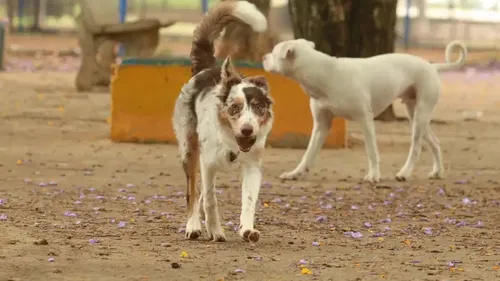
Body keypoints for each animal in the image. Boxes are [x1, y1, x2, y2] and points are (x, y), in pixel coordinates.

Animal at [172, 0, 274, 242]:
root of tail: (207, 68)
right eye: (234, 107)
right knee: (193, 193)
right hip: (189, 149)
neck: (232, 142)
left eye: (257, 107)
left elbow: (249, 201)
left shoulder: (253, 165)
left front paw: (247, 229)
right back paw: (194, 226)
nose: (247, 130)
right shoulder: (207, 162)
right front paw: (216, 230)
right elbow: (209, 199)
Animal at [264, 38, 466, 182]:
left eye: (274, 52)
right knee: (435, 143)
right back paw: (437, 172)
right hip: (415, 115)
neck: (326, 74)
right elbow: (308, 153)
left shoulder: (365, 120)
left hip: (420, 116)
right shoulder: (321, 125)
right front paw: (295, 173)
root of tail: (432, 66)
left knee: (415, 148)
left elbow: (371, 150)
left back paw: (404, 173)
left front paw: (374, 175)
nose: (264, 57)